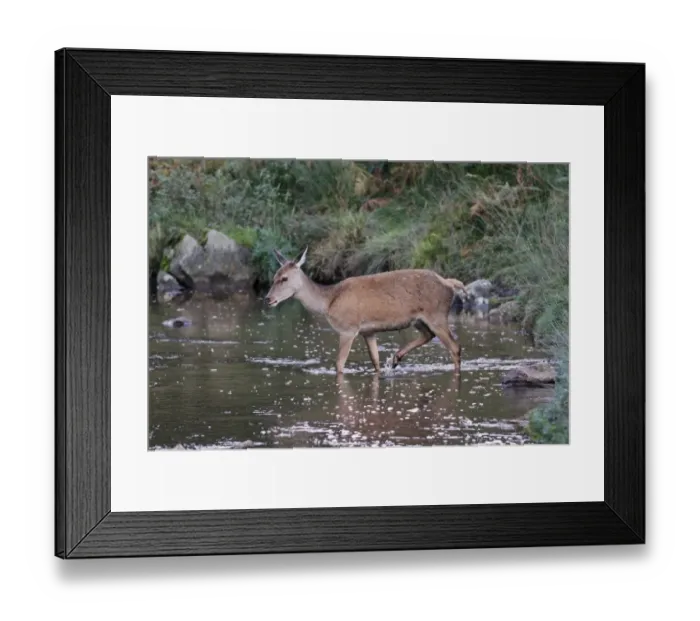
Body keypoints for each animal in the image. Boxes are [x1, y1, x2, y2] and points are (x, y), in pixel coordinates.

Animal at [264, 248, 469, 375]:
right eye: (274, 277)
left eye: (284, 278)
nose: (268, 298)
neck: (328, 300)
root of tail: (449, 284)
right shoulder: (368, 331)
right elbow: (375, 361)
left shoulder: (348, 328)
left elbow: (339, 364)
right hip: (420, 319)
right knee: (428, 335)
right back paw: (395, 358)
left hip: (437, 315)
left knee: (455, 347)